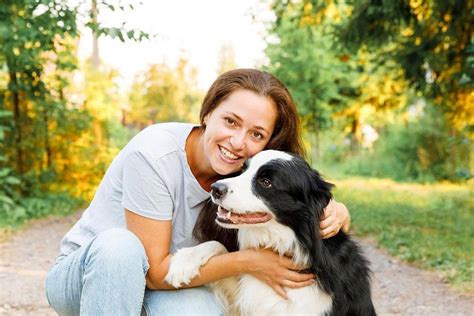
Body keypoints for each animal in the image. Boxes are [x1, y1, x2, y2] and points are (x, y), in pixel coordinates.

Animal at [165, 149, 376, 314]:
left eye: (266, 182)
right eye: (243, 170)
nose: (215, 188)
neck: (288, 243)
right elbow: (219, 247)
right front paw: (183, 262)